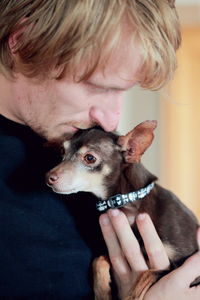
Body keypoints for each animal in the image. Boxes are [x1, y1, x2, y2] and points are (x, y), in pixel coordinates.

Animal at [46, 121, 198, 300]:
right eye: (63, 151)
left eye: (90, 158)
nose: (48, 177)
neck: (127, 201)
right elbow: (98, 260)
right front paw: (102, 292)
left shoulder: (185, 265)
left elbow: (149, 273)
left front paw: (131, 295)